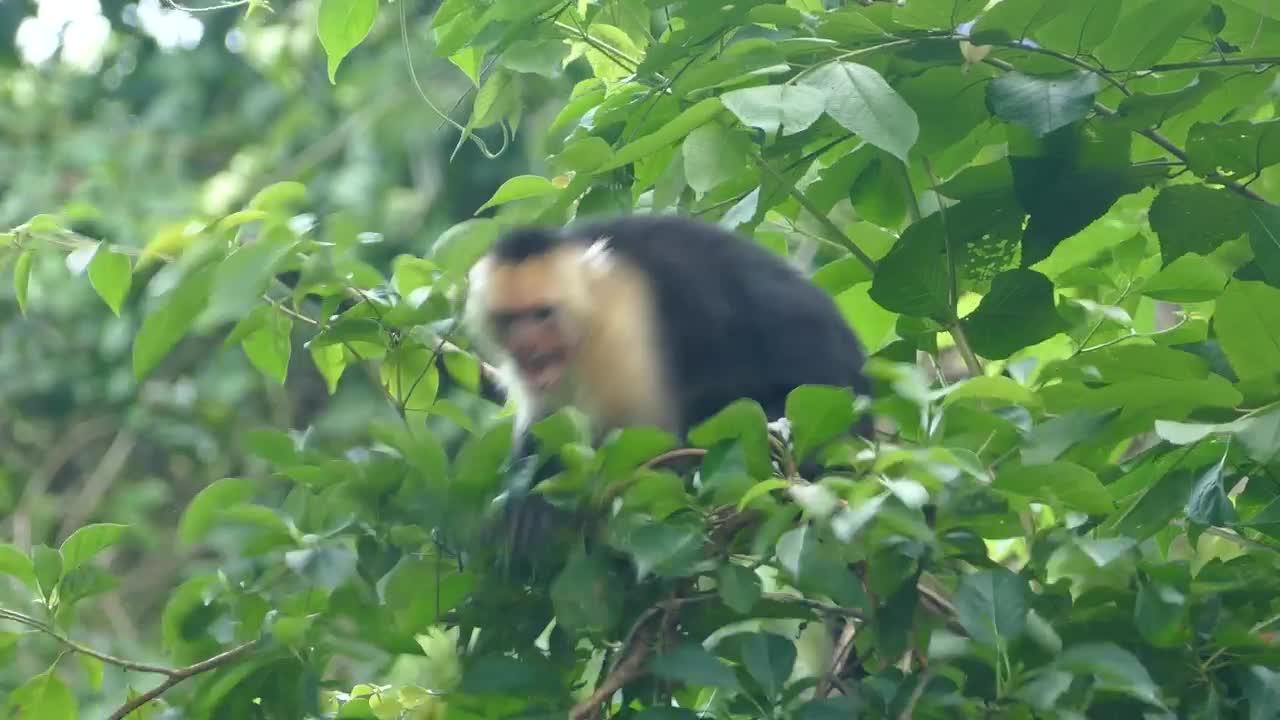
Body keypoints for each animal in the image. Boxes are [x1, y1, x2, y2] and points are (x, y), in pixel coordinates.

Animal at [463, 213, 873, 565]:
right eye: (509, 319)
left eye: (542, 313)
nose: (526, 345)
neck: (592, 312)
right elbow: (548, 424)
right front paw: (527, 502)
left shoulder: (621, 330)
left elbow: (648, 443)